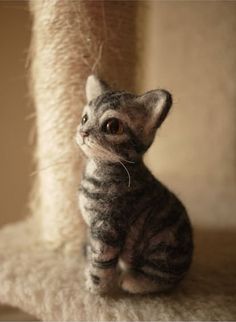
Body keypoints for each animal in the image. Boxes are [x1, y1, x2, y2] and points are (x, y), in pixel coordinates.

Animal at [76, 75, 193, 294]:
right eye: (84, 119)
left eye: (112, 126)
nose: (83, 132)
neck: (97, 171)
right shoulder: (94, 229)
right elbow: (91, 251)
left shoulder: (107, 229)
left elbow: (101, 263)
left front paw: (96, 288)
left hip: (162, 250)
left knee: (161, 279)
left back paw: (132, 280)